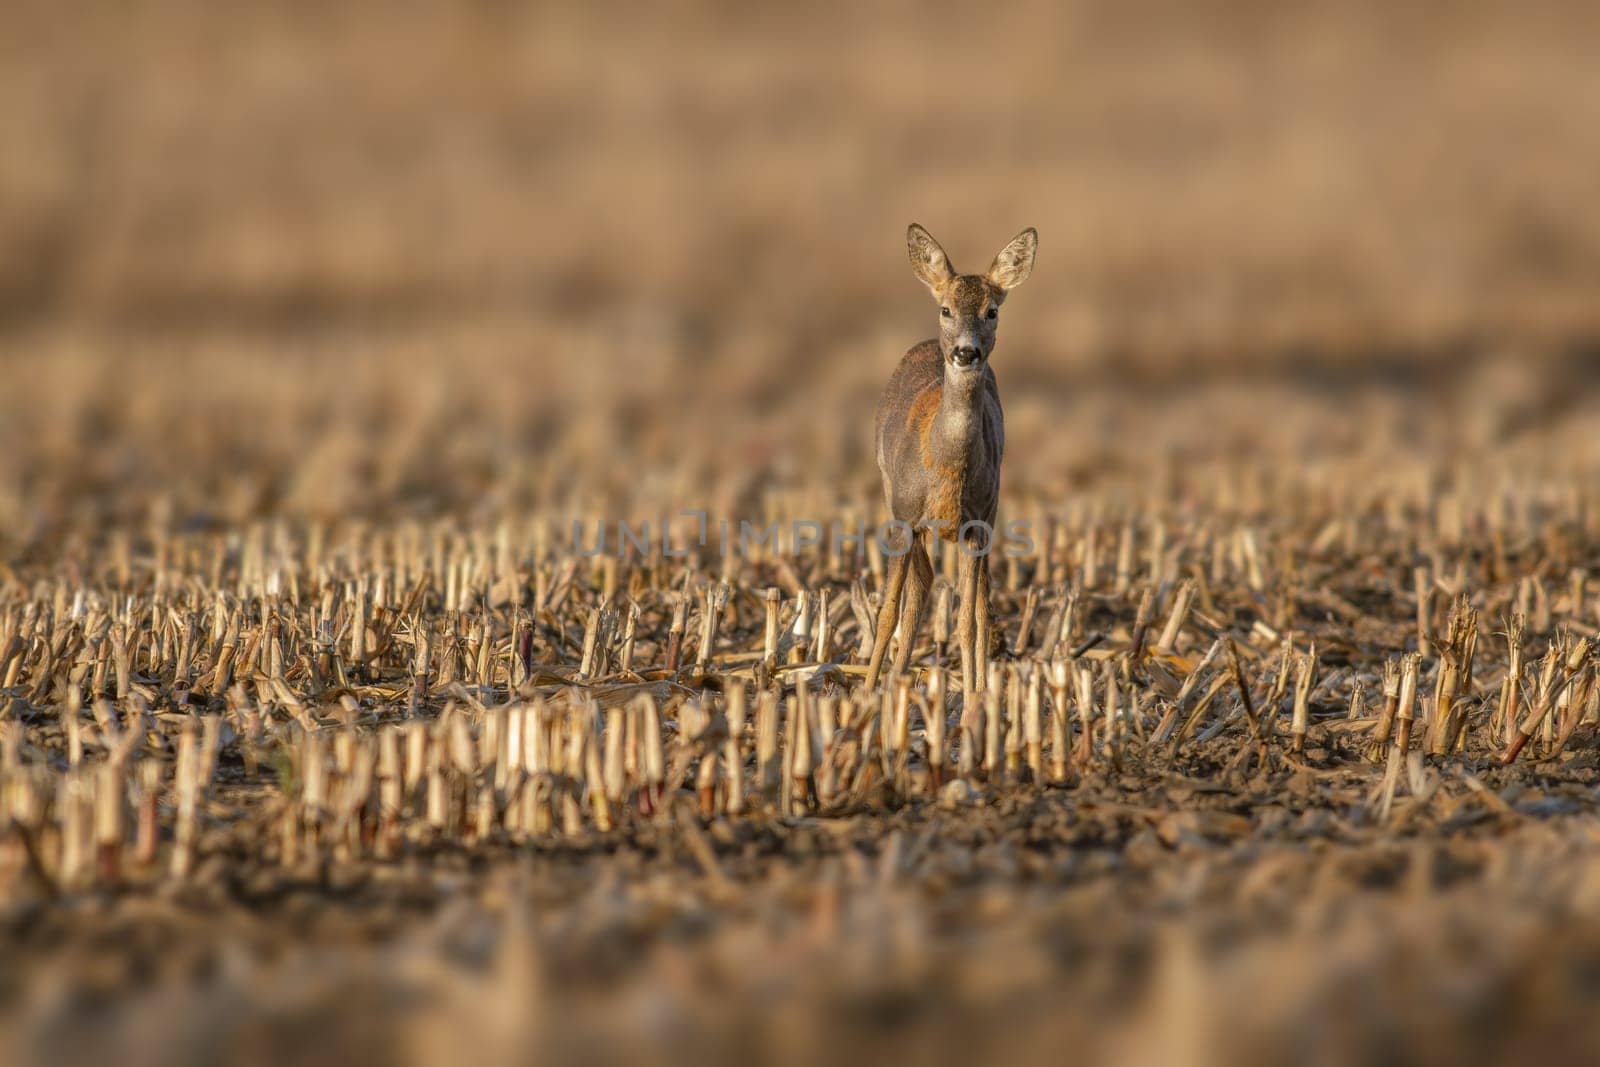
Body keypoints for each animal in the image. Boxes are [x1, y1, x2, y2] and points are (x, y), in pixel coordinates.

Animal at [864, 220, 1036, 697]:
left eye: (992, 311)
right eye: (945, 309)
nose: (965, 352)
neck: (944, 464)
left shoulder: (977, 522)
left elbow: (968, 619)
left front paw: (976, 694)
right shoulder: (904, 515)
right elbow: (888, 611)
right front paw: (866, 690)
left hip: (988, 516)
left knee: (974, 604)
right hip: (892, 495)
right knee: (919, 589)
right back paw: (893, 678)